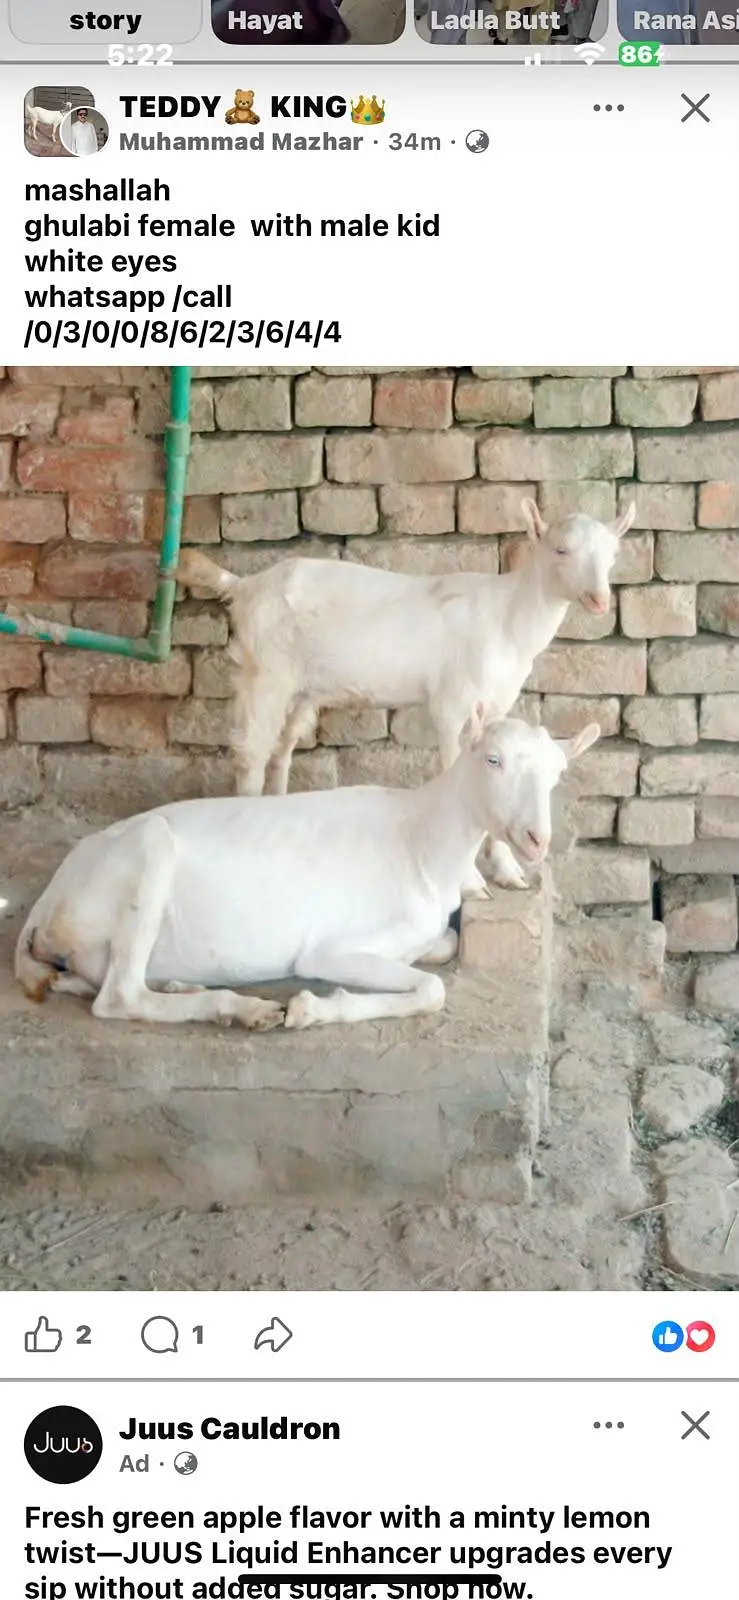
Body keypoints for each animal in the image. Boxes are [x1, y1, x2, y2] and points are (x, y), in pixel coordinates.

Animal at [15, 711, 599, 1032]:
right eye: (492, 759)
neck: (422, 839)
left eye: (557, 773)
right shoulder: (328, 949)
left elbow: (444, 946)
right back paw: (241, 1009)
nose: (536, 839)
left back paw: (186, 985)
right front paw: (309, 1010)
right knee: (119, 996)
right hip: (148, 854)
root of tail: (47, 903)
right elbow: (433, 989)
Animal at [177, 497, 634, 891]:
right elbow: (455, 763)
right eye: (561, 549)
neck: (508, 620)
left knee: (281, 749)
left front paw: (507, 870)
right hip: (265, 672)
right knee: (251, 752)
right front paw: (470, 879)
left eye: (613, 557)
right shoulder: (451, 703)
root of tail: (246, 585)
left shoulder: (495, 702)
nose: (599, 599)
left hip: (301, 688)